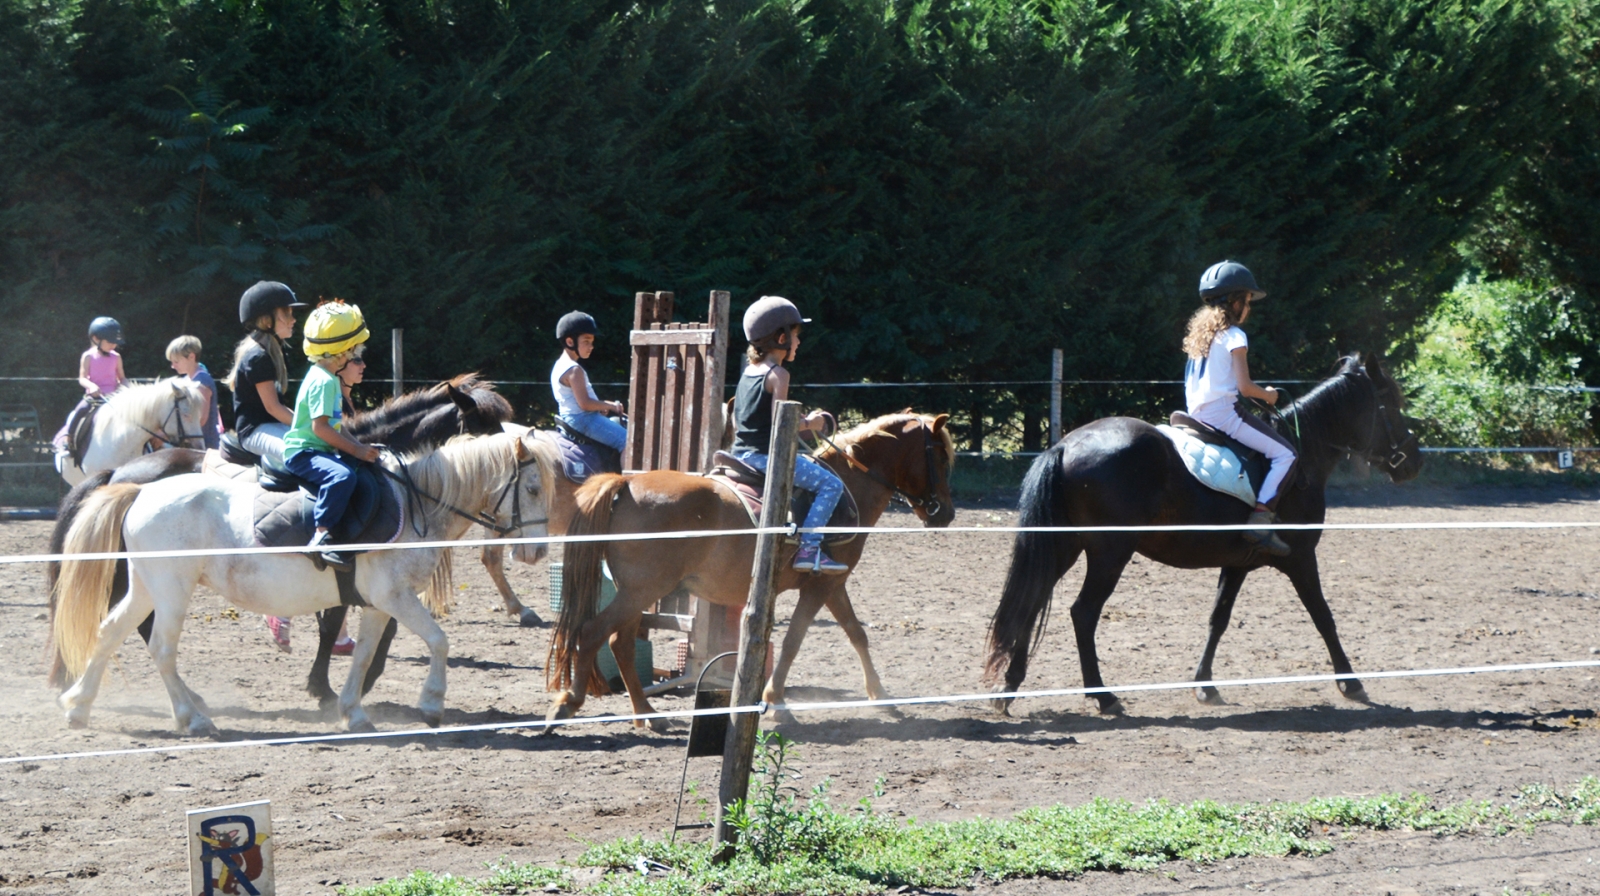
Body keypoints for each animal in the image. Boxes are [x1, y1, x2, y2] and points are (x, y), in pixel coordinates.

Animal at [53, 432, 550, 736]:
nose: (537, 552)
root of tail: (139, 489)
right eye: (531, 489)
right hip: (171, 591)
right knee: (160, 648)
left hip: (145, 586)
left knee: (109, 632)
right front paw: (431, 703)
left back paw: (79, 705)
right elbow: (439, 641)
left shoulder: (377, 603)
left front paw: (352, 711)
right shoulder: (394, 596)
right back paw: (192, 717)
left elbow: (364, 654)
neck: (414, 504)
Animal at [544, 412, 953, 729]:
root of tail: (625, 483)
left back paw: (647, 713)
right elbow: (793, 642)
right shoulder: (821, 586)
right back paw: (568, 704)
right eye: (941, 458)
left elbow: (857, 634)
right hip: (642, 591)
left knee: (620, 644)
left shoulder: (834, 584)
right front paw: (777, 703)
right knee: (593, 633)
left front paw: (880, 696)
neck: (851, 483)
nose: (945, 514)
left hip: (637, 592)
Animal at [985, 355, 1427, 713]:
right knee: (1083, 613)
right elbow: (1324, 617)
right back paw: (1103, 696)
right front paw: (1351, 683)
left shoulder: (1237, 564)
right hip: (1110, 553)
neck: (1304, 456)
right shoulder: (1301, 558)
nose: (1413, 461)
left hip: (1065, 546)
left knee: (1032, 600)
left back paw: (1009, 689)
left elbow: (1219, 619)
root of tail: (1065, 444)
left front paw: (1205, 686)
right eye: (1392, 403)